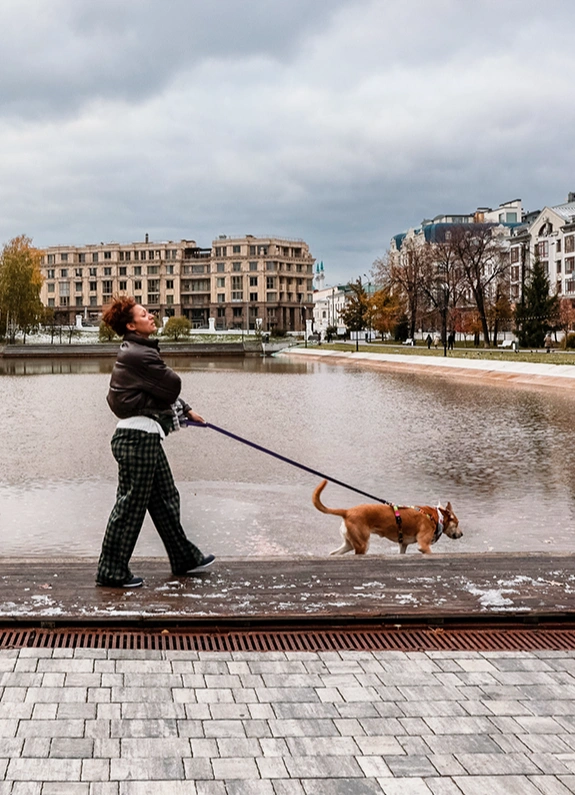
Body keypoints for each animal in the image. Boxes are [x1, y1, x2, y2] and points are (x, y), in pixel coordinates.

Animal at [312, 476, 462, 556]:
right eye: (457, 523)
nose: (461, 534)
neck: (435, 517)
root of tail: (347, 511)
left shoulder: (403, 545)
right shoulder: (424, 545)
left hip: (350, 542)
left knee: (334, 553)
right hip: (362, 544)